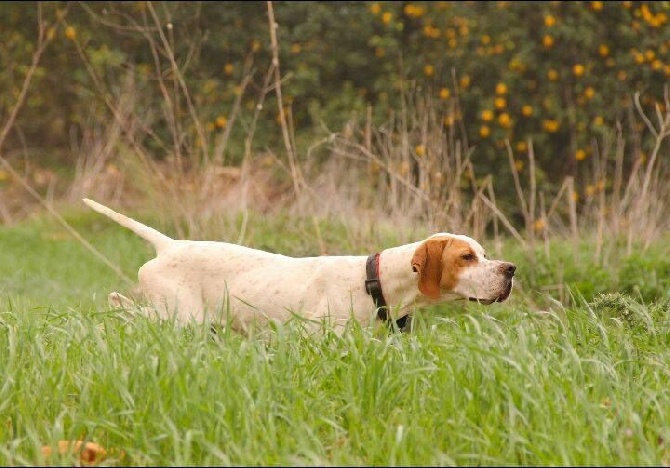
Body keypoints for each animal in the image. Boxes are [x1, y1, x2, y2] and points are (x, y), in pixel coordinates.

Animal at [82, 199, 516, 334]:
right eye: (466, 257)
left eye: (484, 253)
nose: (510, 269)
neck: (373, 281)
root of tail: (170, 244)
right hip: (180, 317)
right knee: (120, 306)